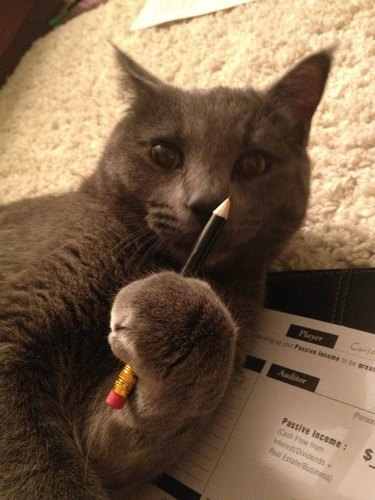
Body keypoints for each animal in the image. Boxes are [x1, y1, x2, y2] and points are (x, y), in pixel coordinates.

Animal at [0, 47, 332, 496]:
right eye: (164, 154)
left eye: (253, 163)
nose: (208, 201)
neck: (162, 262)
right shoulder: (13, 330)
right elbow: (37, 469)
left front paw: (172, 314)